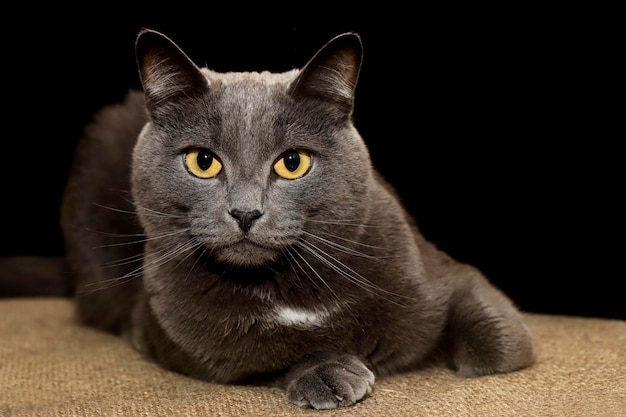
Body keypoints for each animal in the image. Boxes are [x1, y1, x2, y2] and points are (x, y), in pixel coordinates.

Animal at [58, 30, 532, 410]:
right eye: (202, 161)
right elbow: (262, 355)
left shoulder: (436, 268)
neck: (283, 284)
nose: (245, 211)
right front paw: (327, 372)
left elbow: (501, 346)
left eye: (292, 163)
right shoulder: (179, 336)